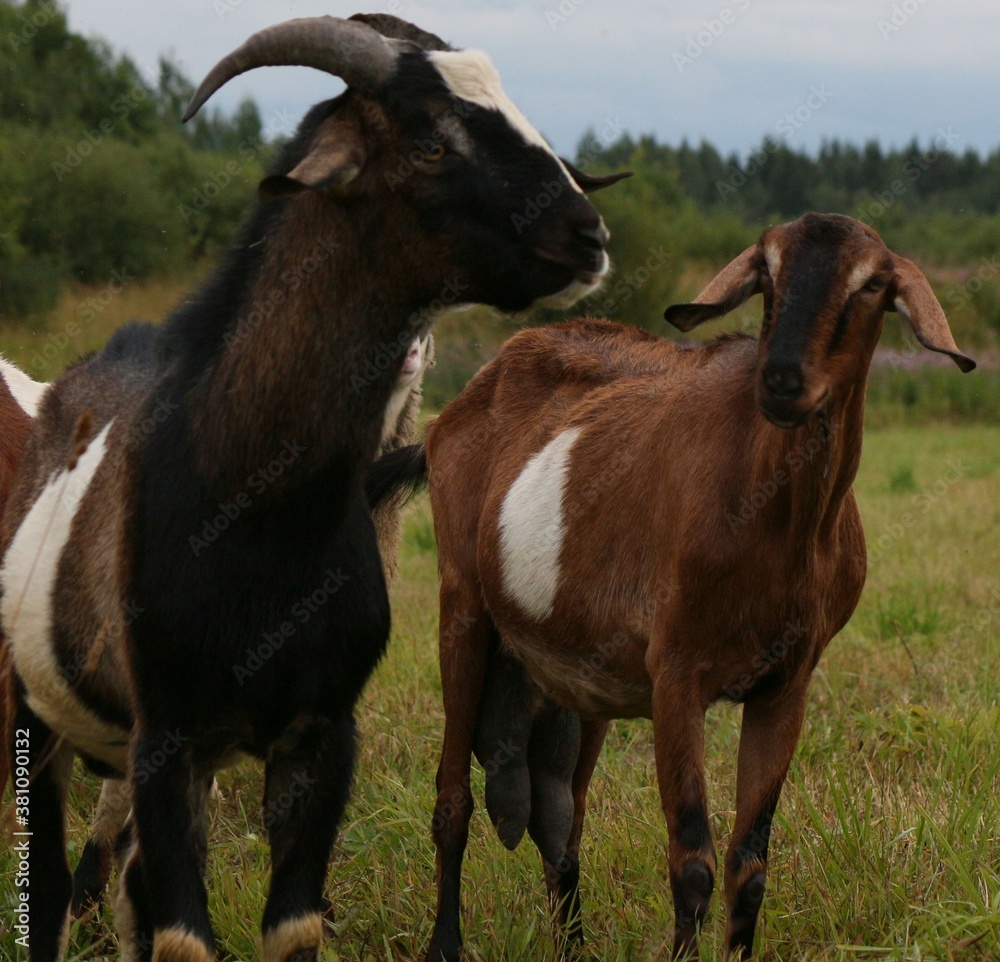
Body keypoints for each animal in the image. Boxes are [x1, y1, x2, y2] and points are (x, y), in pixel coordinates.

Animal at [1, 15, 624, 960]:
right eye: (431, 141)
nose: (588, 237)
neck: (254, 512)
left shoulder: (322, 737)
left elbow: (290, 924)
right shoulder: (166, 742)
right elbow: (184, 937)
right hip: (43, 719)